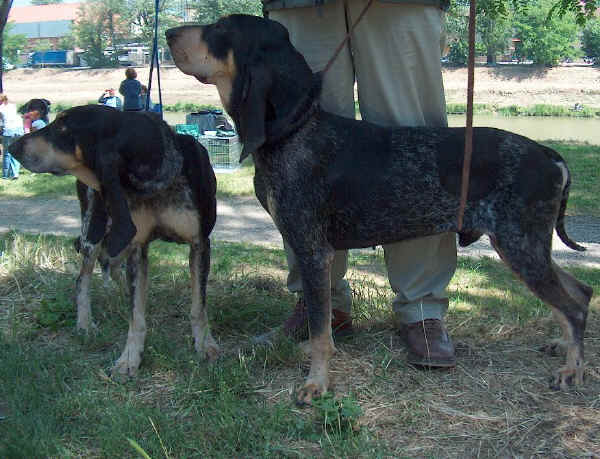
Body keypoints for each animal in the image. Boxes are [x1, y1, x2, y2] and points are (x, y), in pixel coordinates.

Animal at [166, 14, 592, 404]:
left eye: (221, 29)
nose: (168, 33)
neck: (298, 130)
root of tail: (549, 154)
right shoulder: (309, 248)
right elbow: (320, 321)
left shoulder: (313, 250)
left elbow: (321, 331)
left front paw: (316, 383)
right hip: (526, 246)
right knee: (581, 293)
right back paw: (563, 345)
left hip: (520, 245)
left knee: (572, 306)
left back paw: (571, 370)